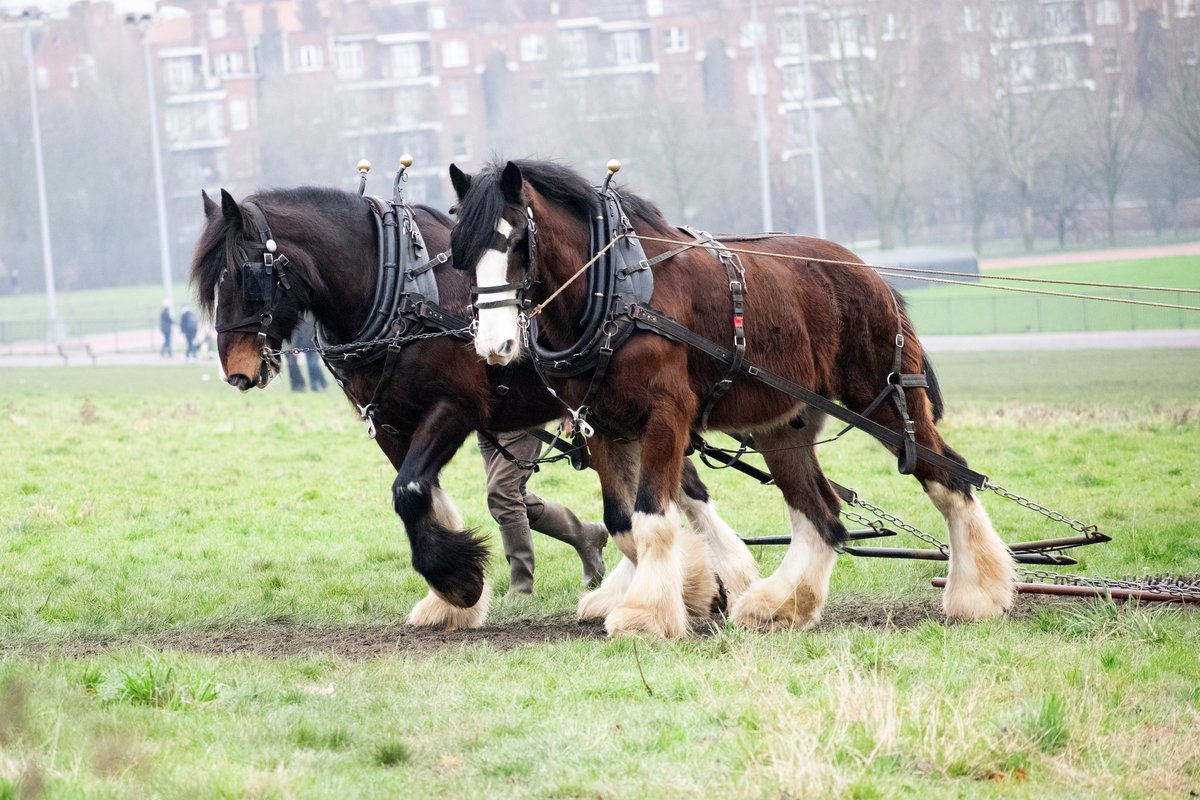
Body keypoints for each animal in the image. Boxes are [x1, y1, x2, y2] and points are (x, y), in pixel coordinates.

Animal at [188, 184, 757, 631]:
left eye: (246, 275)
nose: (236, 371)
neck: (396, 283)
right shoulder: (392, 424)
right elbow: (425, 496)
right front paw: (451, 600)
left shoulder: (454, 408)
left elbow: (409, 492)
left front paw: (457, 582)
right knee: (675, 492)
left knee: (675, 493)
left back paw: (722, 581)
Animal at [448, 158, 1016, 638]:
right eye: (462, 252)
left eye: (517, 241)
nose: (494, 346)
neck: (617, 292)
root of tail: (872, 274)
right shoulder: (602, 424)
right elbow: (624, 524)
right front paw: (674, 596)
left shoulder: (666, 416)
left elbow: (653, 518)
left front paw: (647, 615)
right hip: (783, 425)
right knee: (822, 513)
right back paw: (781, 604)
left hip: (886, 403)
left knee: (948, 478)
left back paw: (978, 594)